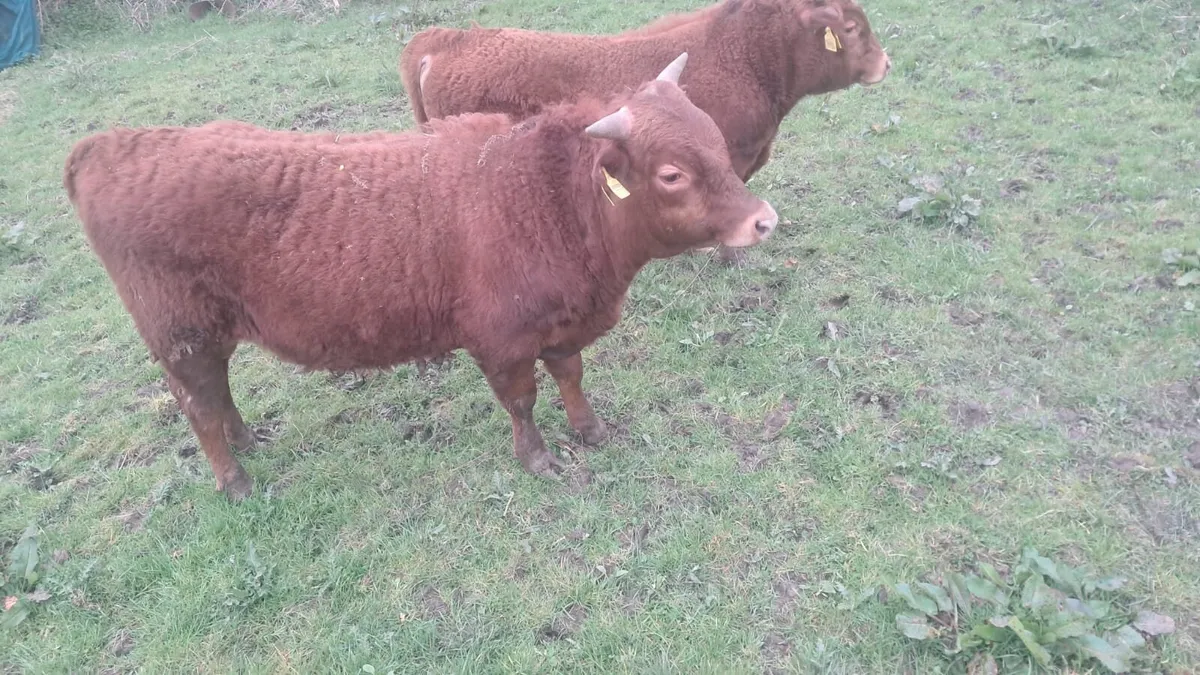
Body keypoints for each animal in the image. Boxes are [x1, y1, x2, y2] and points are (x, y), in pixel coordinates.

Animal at [64, 54, 780, 502]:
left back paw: (249, 439)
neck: (544, 197)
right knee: (201, 407)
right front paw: (539, 458)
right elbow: (522, 401)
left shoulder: (561, 323)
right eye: (671, 173)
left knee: (220, 396)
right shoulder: (501, 339)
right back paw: (235, 479)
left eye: (716, 139)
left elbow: (571, 376)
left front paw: (590, 430)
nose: (764, 220)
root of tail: (111, 145)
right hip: (180, 334)